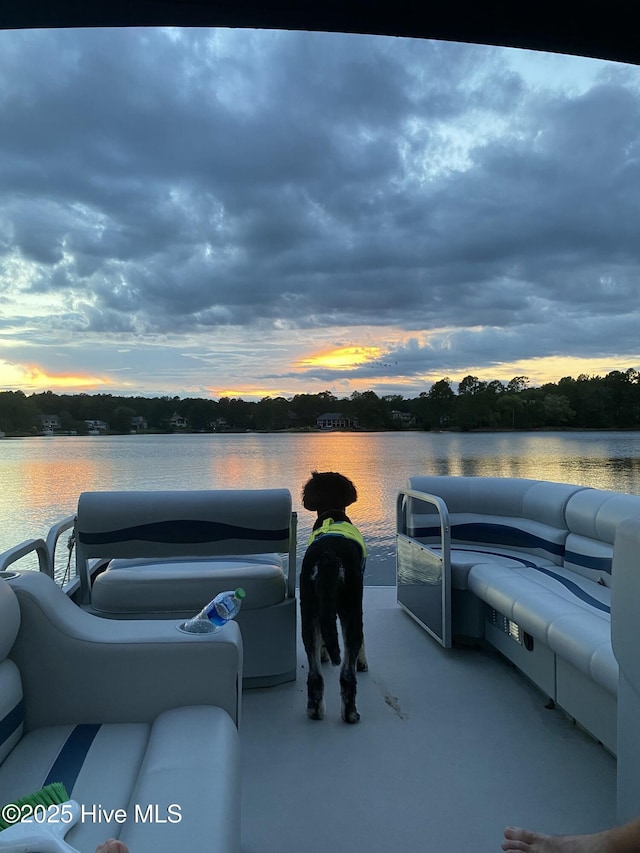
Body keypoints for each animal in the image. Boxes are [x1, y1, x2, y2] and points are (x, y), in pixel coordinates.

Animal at [298, 470, 368, 724]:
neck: (332, 514)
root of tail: (329, 555)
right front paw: (362, 662)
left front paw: (324, 653)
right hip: (351, 607)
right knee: (347, 674)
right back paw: (351, 714)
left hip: (307, 611)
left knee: (315, 676)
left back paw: (314, 710)